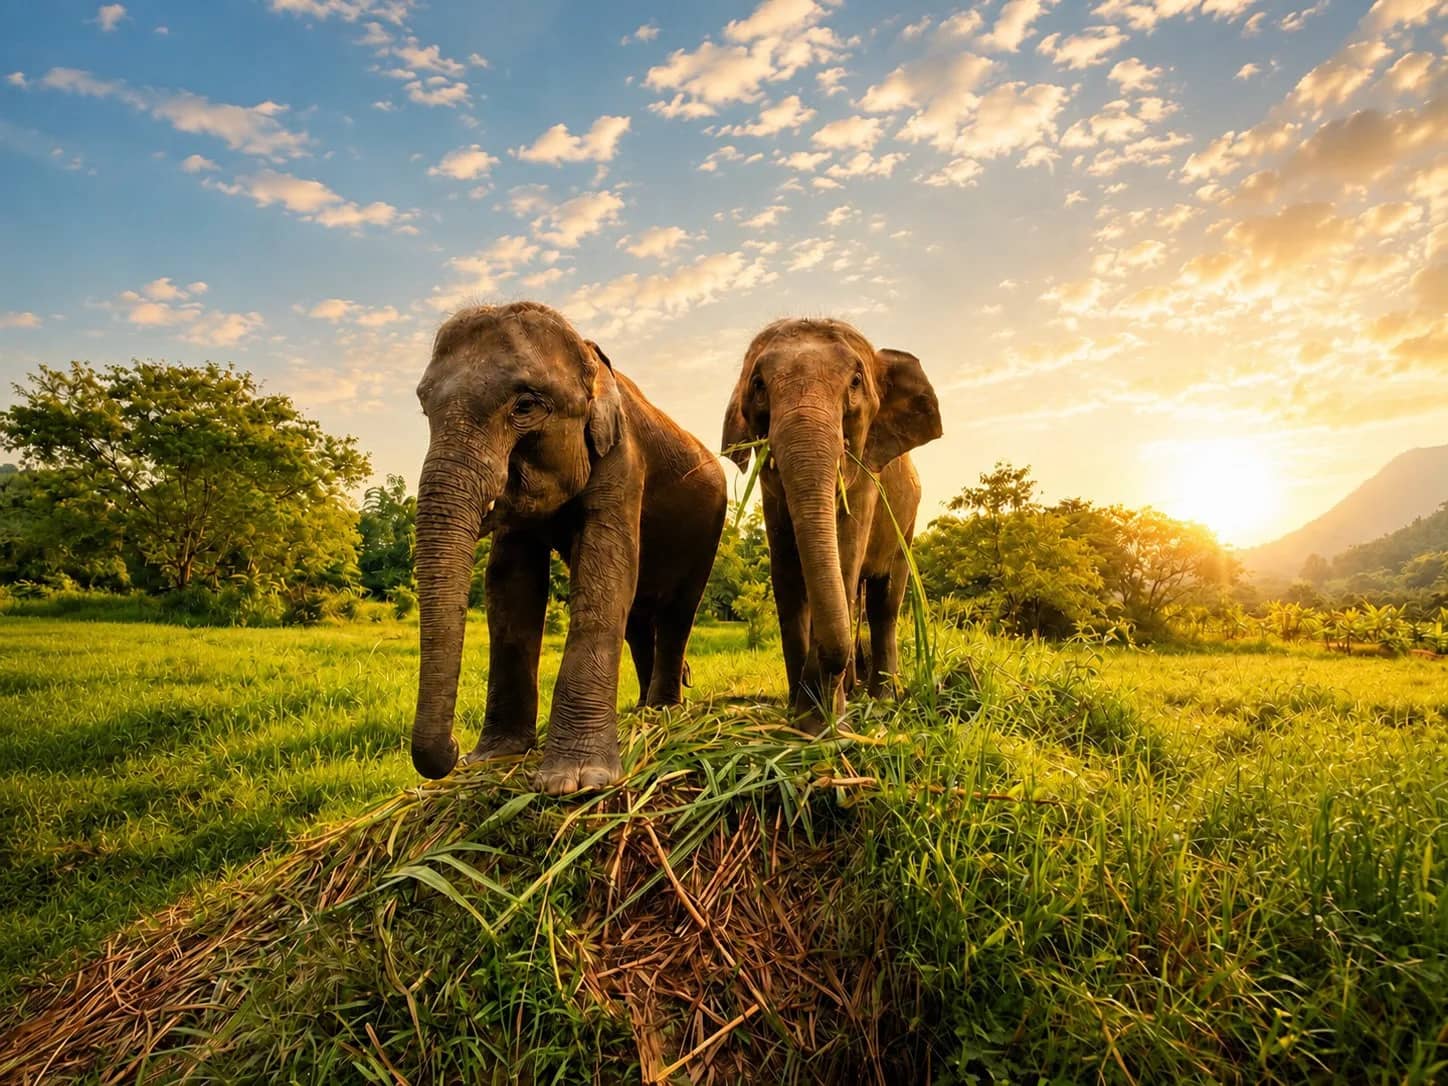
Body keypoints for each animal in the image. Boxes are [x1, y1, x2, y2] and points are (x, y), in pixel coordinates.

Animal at [411, 302, 727, 795]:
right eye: (424, 407)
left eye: (525, 406)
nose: (454, 752)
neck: (592, 358)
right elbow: (509, 584)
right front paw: (495, 757)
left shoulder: (624, 458)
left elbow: (606, 568)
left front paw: (575, 782)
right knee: (639, 620)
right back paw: (641, 712)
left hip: (708, 528)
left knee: (678, 612)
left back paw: (663, 712)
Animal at [721, 318, 942, 726]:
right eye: (758, 384)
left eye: (855, 382)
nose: (829, 687)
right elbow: (787, 574)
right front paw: (802, 717)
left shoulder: (868, 480)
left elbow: (844, 556)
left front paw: (823, 721)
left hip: (907, 524)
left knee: (884, 602)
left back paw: (881, 700)